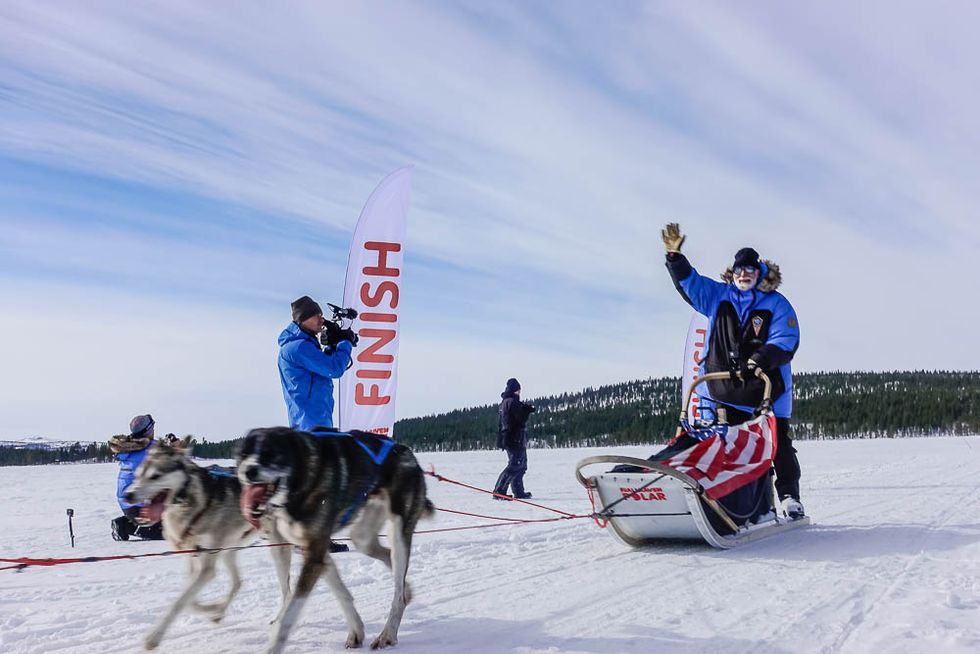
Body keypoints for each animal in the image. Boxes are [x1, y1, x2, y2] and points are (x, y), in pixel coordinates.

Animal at [124, 436, 290, 652]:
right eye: (137, 476)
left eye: (155, 476)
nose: (127, 495)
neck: (191, 503)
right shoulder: (193, 559)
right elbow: (189, 600)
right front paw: (213, 609)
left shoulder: (206, 567)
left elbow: (180, 602)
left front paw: (154, 637)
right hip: (229, 551)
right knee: (238, 582)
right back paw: (220, 611)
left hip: (277, 552)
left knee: (287, 591)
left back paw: (279, 620)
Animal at [237, 428, 432, 652]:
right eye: (243, 454)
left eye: (270, 453)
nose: (248, 470)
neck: (302, 479)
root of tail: (407, 452)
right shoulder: (315, 550)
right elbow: (341, 591)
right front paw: (356, 629)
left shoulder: (315, 553)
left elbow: (289, 616)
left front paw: (272, 647)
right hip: (363, 538)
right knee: (387, 558)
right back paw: (407, 591)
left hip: (398, 533)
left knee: (397, 592)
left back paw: (388, 634)